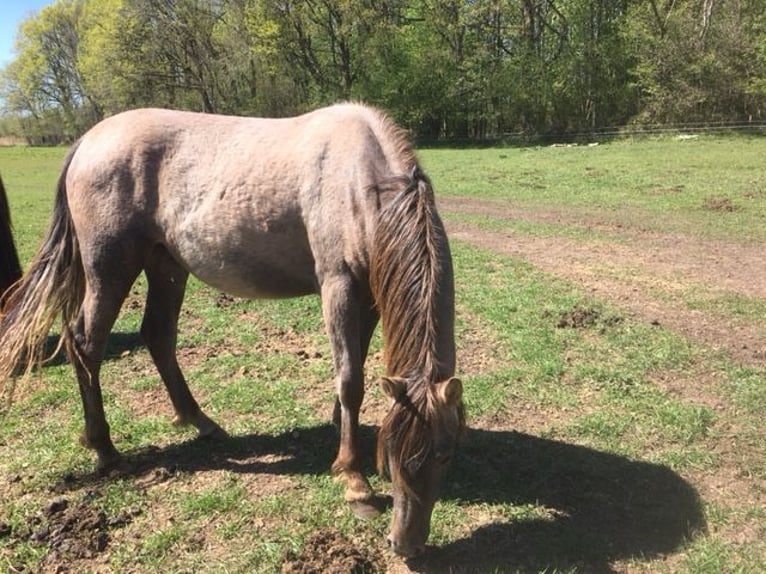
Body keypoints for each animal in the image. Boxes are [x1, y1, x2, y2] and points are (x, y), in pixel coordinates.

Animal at [0, 103, 464, 557]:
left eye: (445, 454)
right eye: (396, 457)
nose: (406, 543)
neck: (361, 180)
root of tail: (88, 142)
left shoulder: (367, 294)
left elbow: (354, 374)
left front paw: (342, 433)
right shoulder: (339, 285)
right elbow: (350, 380)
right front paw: (353, 481)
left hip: (166, 264)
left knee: (158, 335)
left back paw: (199, 421)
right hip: (109, 269)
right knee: (86, 345)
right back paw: (105, 448)